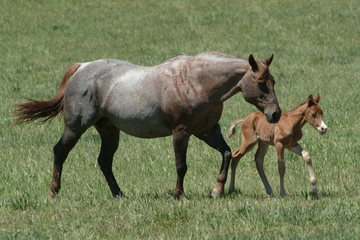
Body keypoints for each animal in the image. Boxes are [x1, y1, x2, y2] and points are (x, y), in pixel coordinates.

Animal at [14, 52, 282, 199]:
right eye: (260, 82)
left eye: (274, 80)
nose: (275, 114)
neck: (196, 82)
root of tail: (82, 67)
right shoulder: (182, 131)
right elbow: (181, 166)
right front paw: (179, 195)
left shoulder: (207, 131)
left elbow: (226, 153)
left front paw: (217, 189)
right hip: (76, 127)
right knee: (60, 152)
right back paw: (54, 191)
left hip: (109, 130)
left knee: (104, 161)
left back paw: (119, 194)